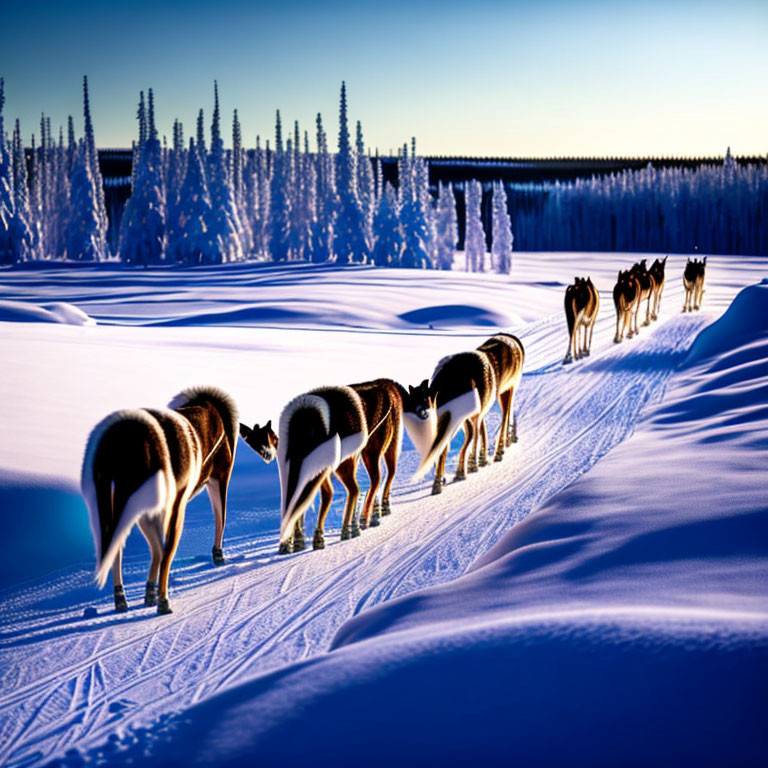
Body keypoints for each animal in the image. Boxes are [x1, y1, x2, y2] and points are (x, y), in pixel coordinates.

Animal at [80, 388, 237, 616]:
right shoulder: (211, 483)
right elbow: (216, 522)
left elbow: (157, 549)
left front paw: (149, 595)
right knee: (163, 549)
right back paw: (161, 601)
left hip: (118, 501)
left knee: (120, 545)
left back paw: (122, 599)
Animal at [414, 352, 498, 496]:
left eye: (424, 399)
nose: (421, 413)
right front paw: (441, 479)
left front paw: (440, 482)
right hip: (470, 415)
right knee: (477, 430)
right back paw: (476, 463)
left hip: (472, 413)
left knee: (475, 432)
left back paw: (470, 466)